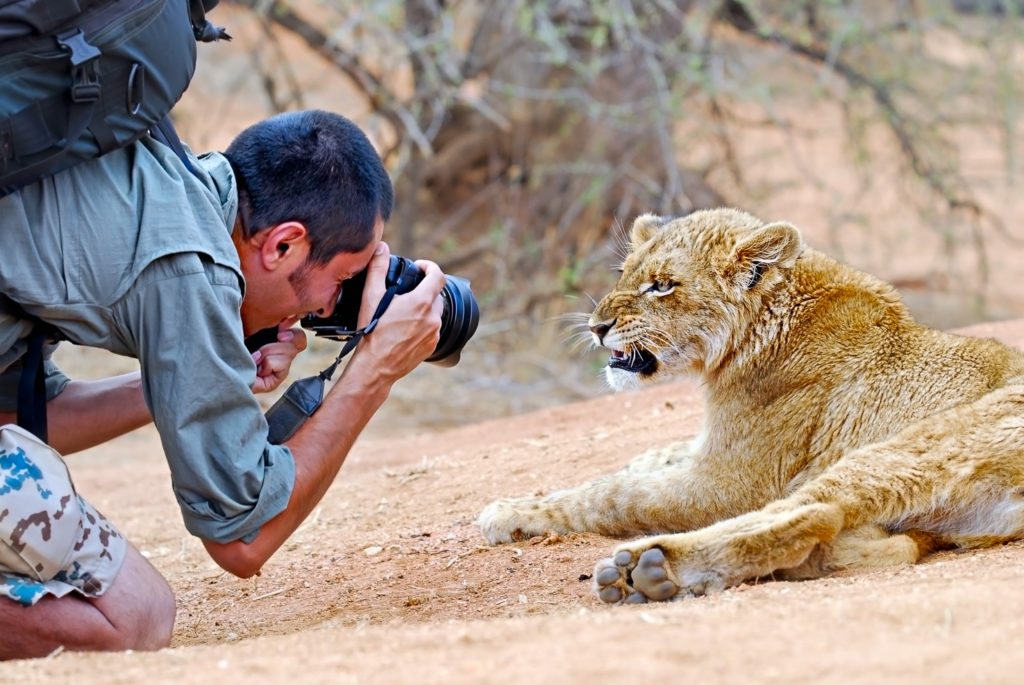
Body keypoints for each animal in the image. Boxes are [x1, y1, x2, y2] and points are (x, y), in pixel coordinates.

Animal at [475, 205, 1024, 602]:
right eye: (625, 274)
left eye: (663, 285)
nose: (596, 327)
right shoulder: (715, 448)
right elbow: (661, 456)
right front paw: (643, 458)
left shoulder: (732, 483)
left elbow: (613, 495)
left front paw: (508, 511)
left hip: (910, 449)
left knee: (813, 513)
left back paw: (647, 570)